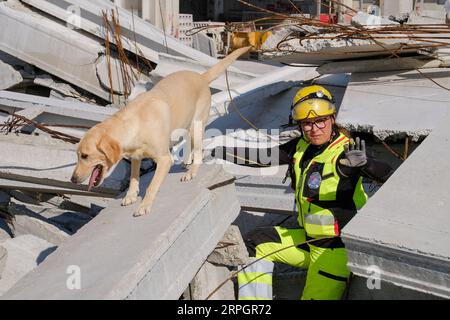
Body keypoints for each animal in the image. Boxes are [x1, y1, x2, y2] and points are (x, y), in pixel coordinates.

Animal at [72, 47, 251, 218]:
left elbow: (152, 186)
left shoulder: (164, 160)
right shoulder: (136, 157)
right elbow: (133, 178)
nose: (73, 179)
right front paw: (131, 196)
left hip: (196, 125)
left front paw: (144, 206)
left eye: (85, 156)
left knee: (199, 150)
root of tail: (201, 76)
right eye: (78, 155)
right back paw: (187, 161)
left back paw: (192, 171)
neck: (135, 123)